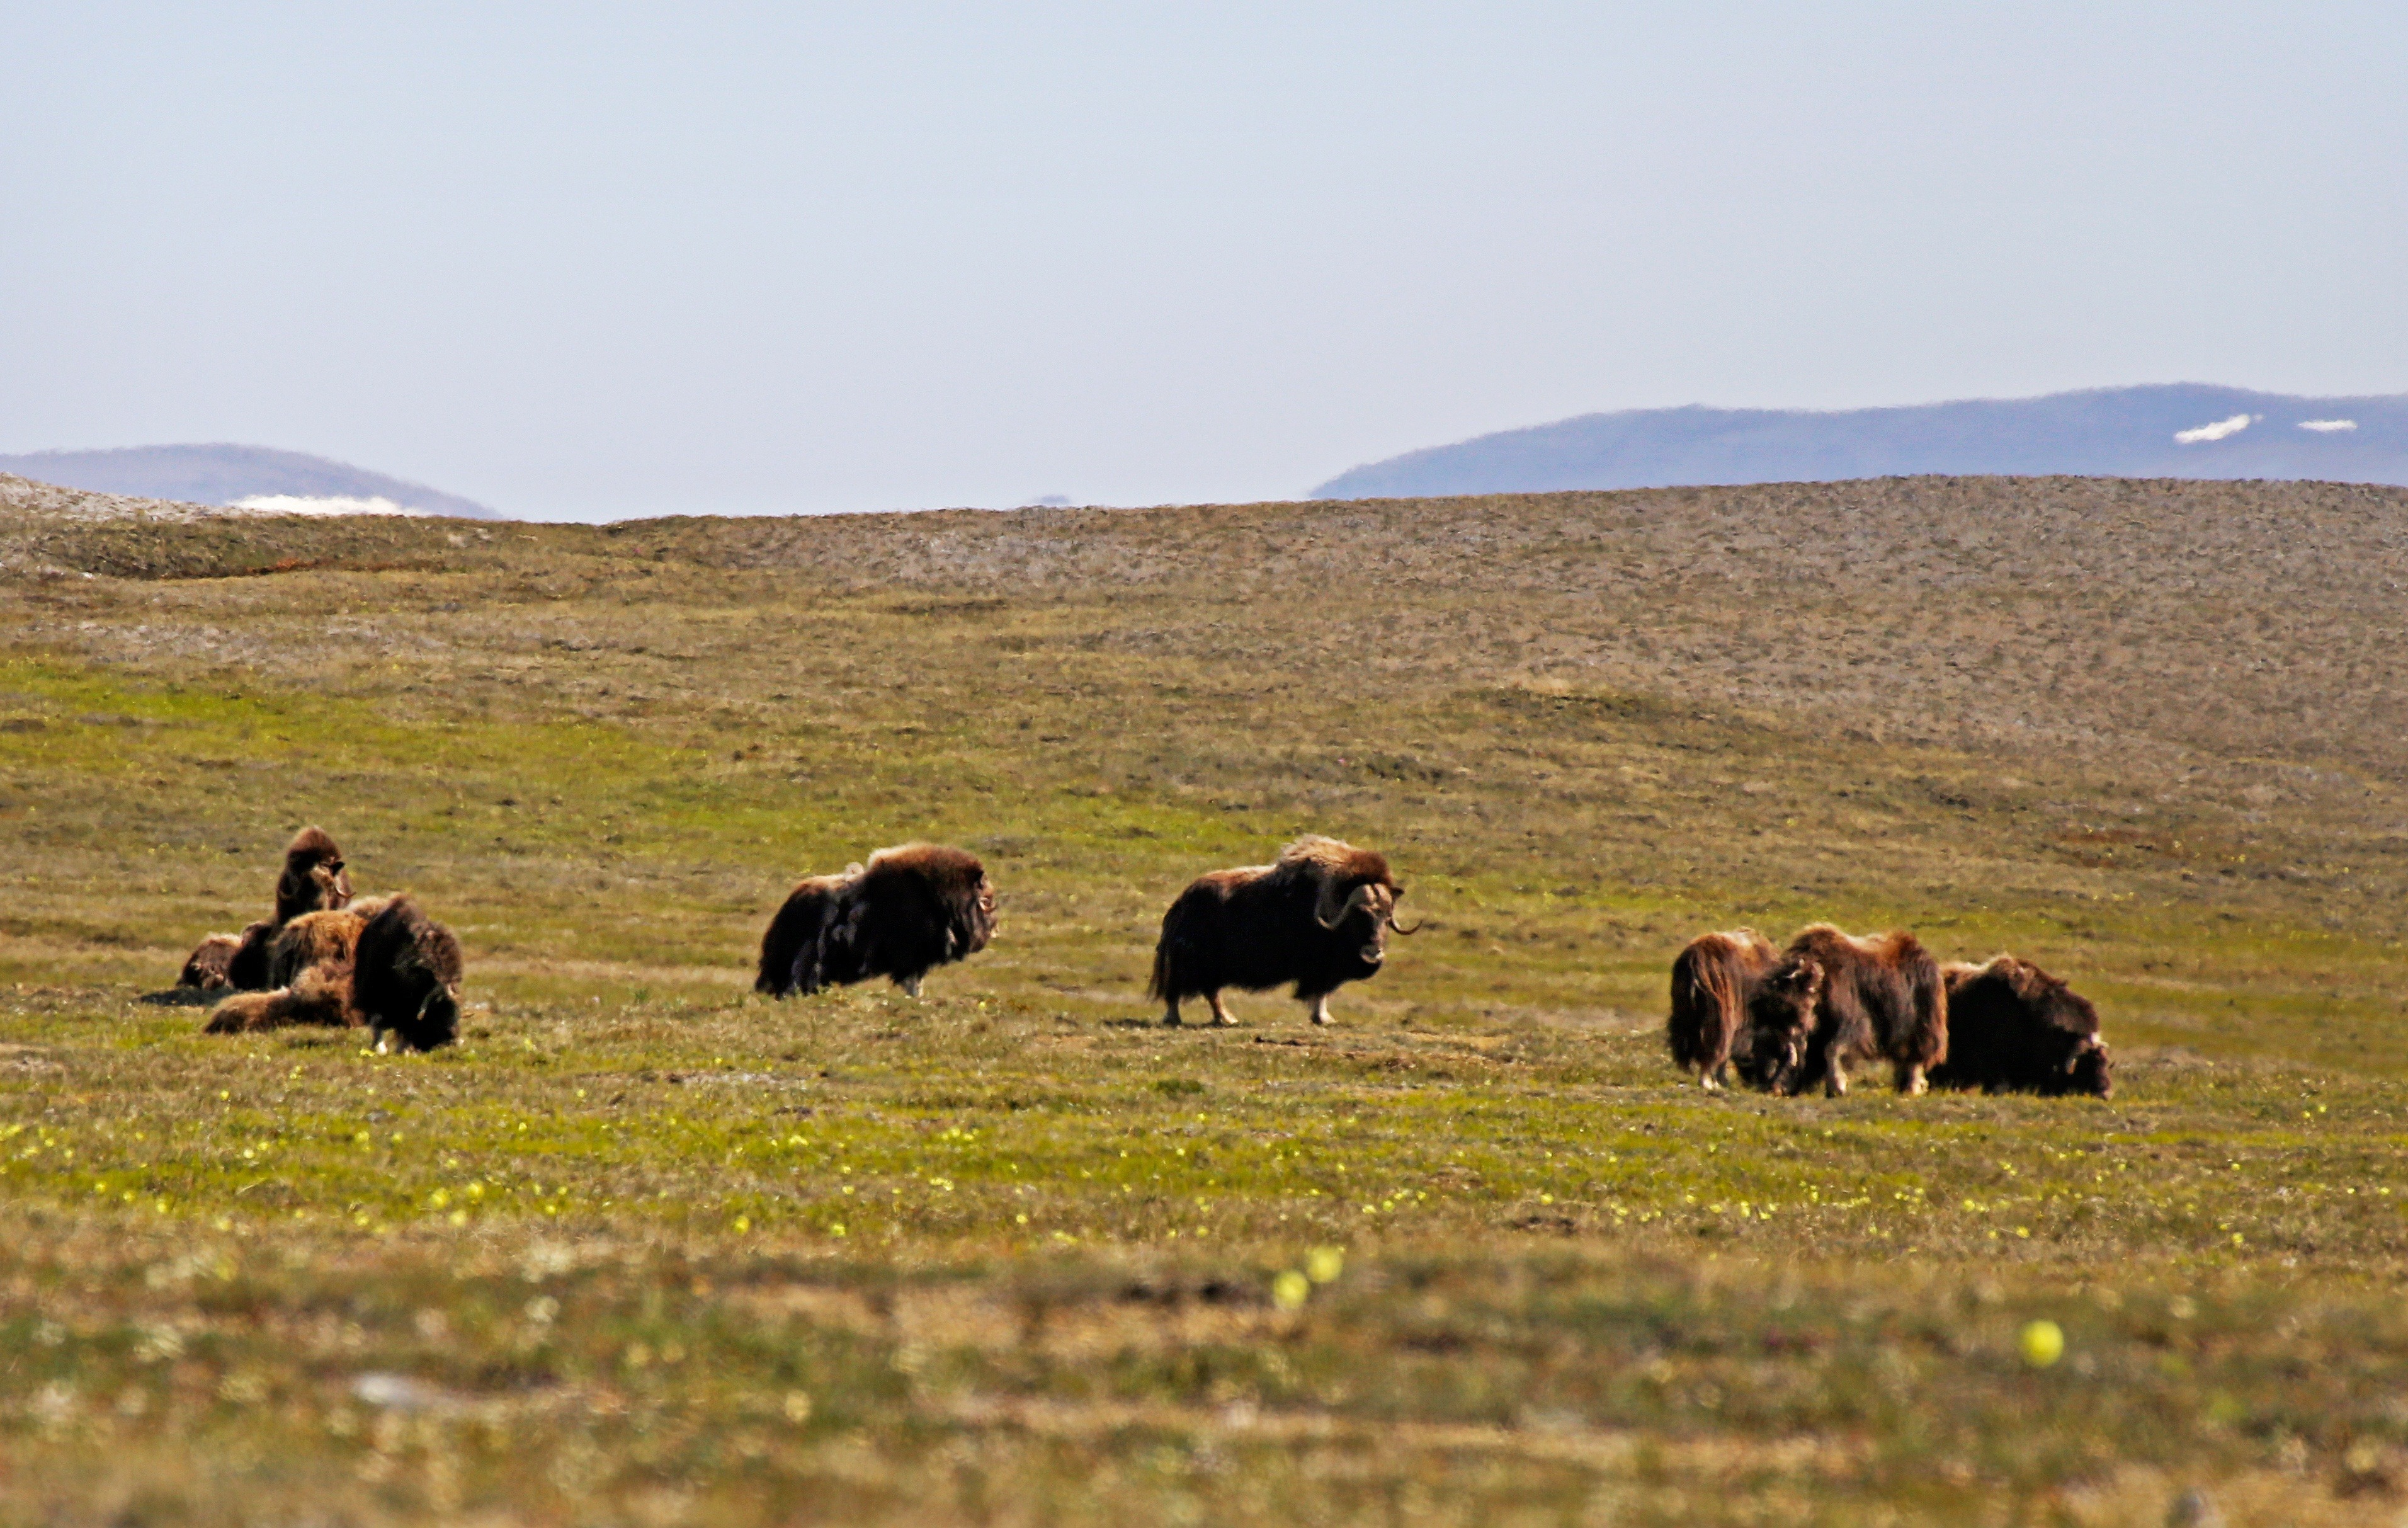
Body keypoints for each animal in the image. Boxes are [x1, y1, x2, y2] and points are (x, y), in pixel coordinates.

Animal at [1146, 833, 1406, 1022]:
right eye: (1359, 914)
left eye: (1387, 917)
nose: (1374, 952)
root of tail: (1182, 902)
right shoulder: (1320, 967)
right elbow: (1319, 990)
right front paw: (1323, 1018)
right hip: (1195, 962)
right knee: (1182, 990)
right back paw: (1180, 1019)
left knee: (1211, 992)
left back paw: (1226, 1019)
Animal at [1676, 930, 1820, 1084]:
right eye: (1805, 997)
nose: (1806, 1026)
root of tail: (1696, 960)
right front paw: (1722, 1080)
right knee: (1713, 1046)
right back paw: (1708, 1082)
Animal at [1743, 920, 1945, 1089]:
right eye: (1762, 1014)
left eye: (1794, 1010)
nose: (1768, 1084)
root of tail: (1923, 954)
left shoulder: (1852, 1024)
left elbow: (1833, 1049)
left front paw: (1837, 1087)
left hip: (1922, 1026)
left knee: (1915, 1056)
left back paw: (1913, 1087)